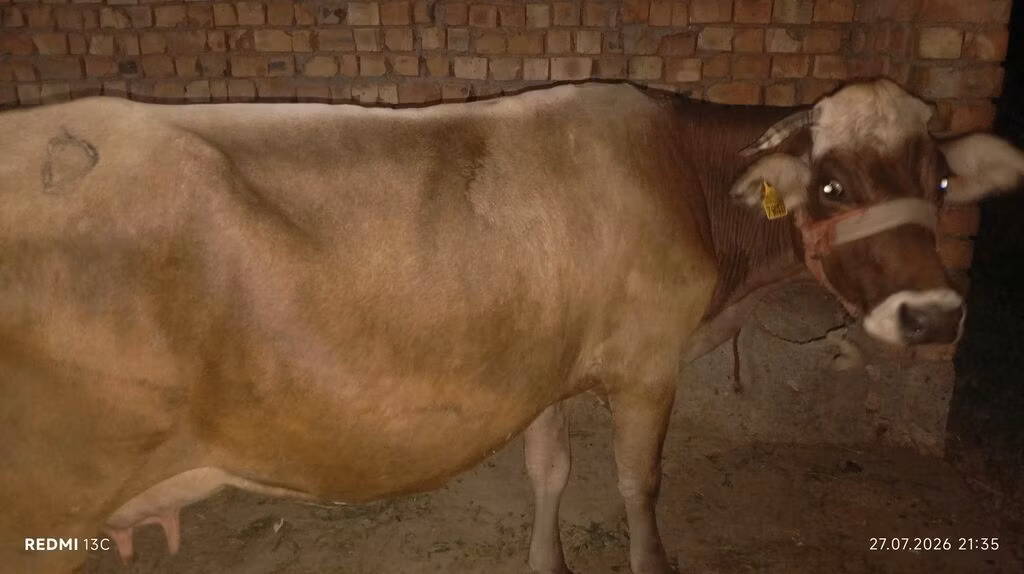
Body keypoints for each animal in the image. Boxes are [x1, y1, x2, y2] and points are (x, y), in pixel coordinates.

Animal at [1, 78, 1022, 574]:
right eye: (832, 186)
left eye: (939, 181)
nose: (933, 315)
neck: (681, 181)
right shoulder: (647, 362)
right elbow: (638, 486)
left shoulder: (547, 364)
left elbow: (550, 472)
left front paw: (547, 564)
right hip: (45, 511)